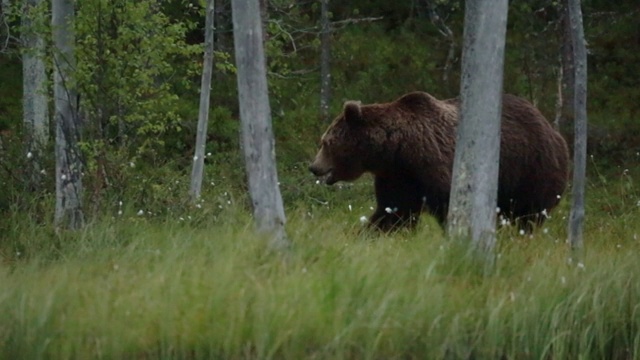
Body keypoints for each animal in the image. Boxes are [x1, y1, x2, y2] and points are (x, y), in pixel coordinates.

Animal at [310, 91, 568, 232]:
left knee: (529, 214)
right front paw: (368, 233)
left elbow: (447, 204)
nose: (313, 167)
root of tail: (554, 132)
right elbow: (392, 211)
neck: (396, 149)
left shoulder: (432, 164)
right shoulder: (397, 176)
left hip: (532, 169)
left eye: (326, 142)